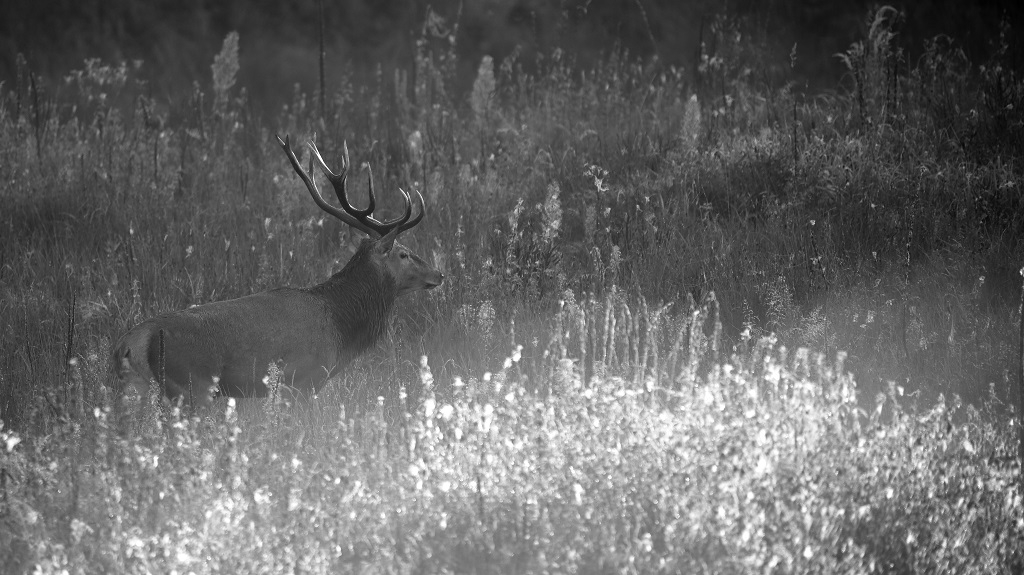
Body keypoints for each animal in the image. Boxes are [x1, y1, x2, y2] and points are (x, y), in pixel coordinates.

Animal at [111, 135, 444, 407]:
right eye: (403, 253)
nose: (439, 274)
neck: (340, 321)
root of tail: (130, 344)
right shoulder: (302, 378)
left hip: (138, 392)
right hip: (192, 386)